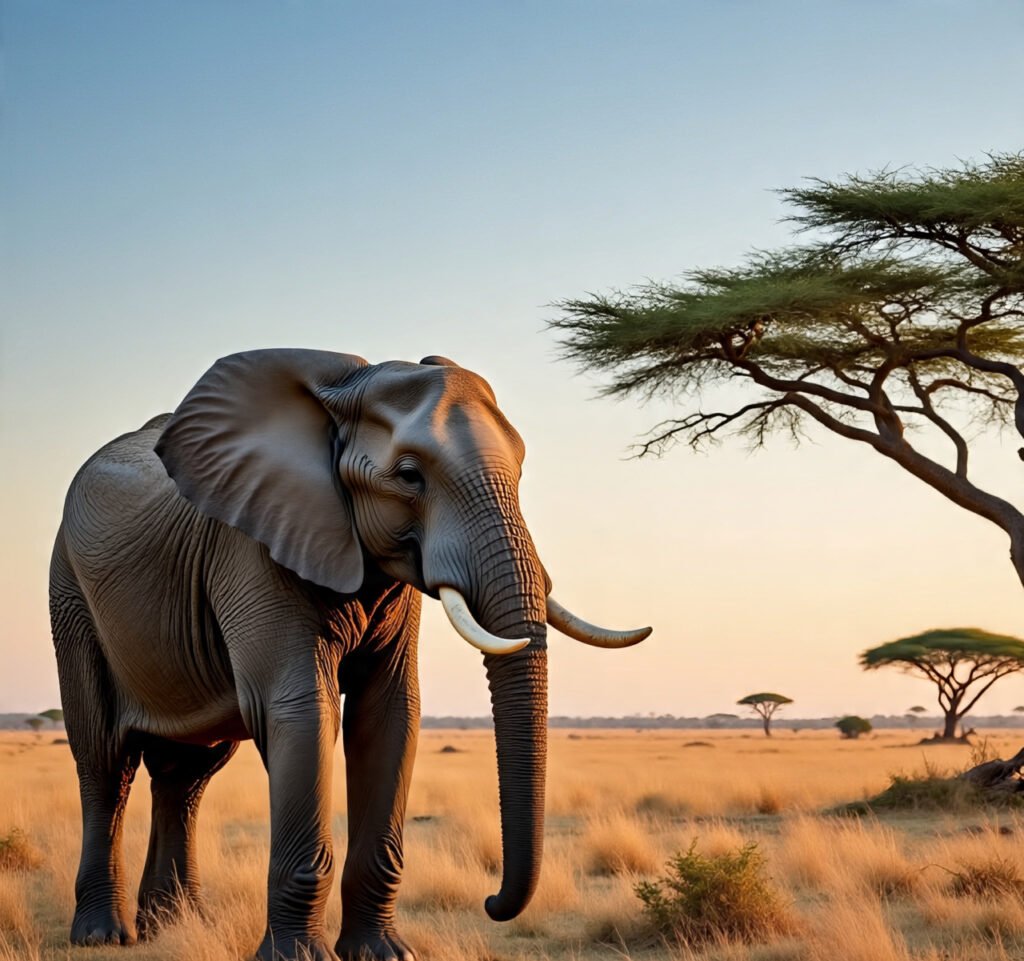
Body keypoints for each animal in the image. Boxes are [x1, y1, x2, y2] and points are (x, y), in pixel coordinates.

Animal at [49, 349, 651, 961]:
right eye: (409, 475)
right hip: (70, 594)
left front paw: (382, 953)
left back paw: (172, 927)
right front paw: (296, 957)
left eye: (522, 472)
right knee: (105, 762)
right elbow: (302, 711)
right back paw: (103, 936)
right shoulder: (253, 544)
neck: (342, 394)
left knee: (187, 774)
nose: (491, 903)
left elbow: (388, 715)